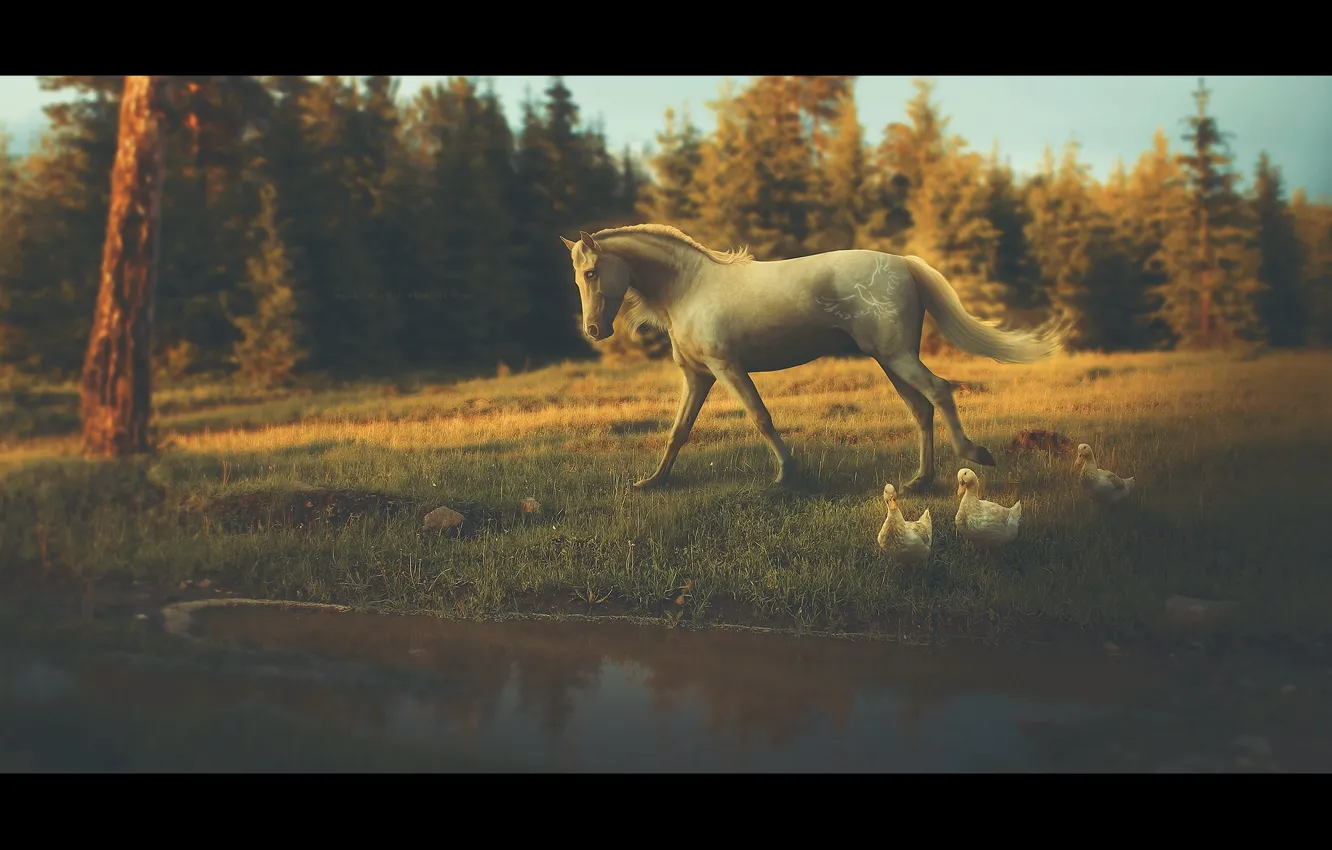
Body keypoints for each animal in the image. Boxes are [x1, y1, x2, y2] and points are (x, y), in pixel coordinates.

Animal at [559, 224, 1064, 494]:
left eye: (592, 272)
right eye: (577, 276)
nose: (594, 330)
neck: (689, 287)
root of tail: (902, 263)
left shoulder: (728, 368)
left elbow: (761, 418)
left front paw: (785, 476)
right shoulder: (698, 376)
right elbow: (678, 431)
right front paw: (652, 482)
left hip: (897, 356)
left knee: (939, 391)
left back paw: (974, 454)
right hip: (890, 359)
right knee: (921, 408)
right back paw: (918, 482)